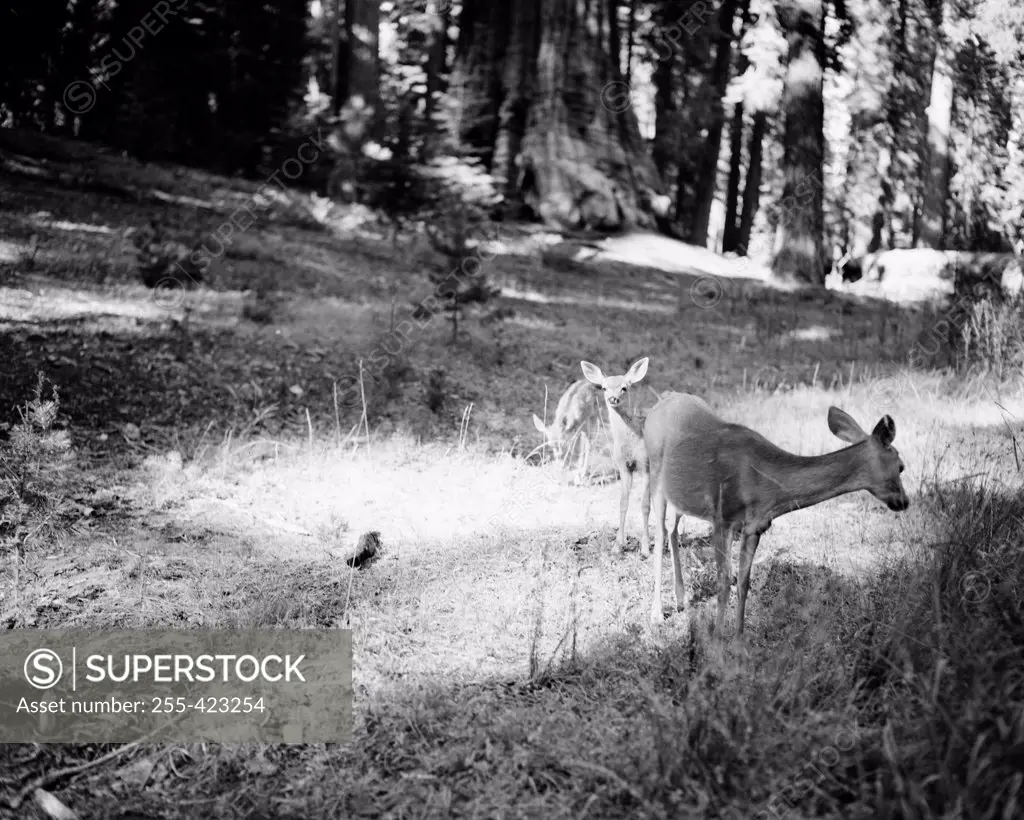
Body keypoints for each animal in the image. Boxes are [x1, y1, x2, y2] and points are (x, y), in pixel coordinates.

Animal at [581, 354, 651, 552]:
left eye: (624, 388)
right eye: (604, 387)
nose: (613, 398)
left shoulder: (646, 464)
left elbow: (645, 505)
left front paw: (645, 547)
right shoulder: (623, 467)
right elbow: (623, 502)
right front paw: (618, 545)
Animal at [643, 393, 909, 634]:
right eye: (901, 467)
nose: (904, 502)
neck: (763, 481)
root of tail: (659, 404)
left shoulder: (755, 526)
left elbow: (744, 582)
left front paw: (739, 640)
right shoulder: (723, 518)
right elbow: (724, 581)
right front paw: (718, 639)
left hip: (678, 495)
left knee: (672, 530)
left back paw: (680, 599)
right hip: (654, 474)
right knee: (659, 535)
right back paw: (656, 613)